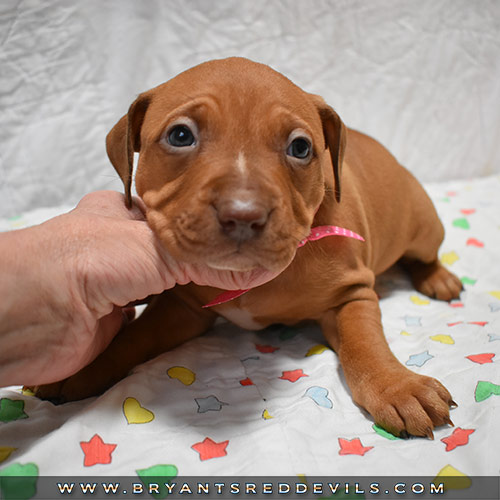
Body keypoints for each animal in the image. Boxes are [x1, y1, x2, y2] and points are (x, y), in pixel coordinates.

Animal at [37, 55, 462, 438]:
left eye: (301, 147)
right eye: (180, 136)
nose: (243, 214)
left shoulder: (351, 294)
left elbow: (365, 343)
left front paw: (398, 388)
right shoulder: (182, 308)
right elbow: (133, 336)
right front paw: (87, 367)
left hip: (423, 227)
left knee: (424, 256)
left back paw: (439, 279)